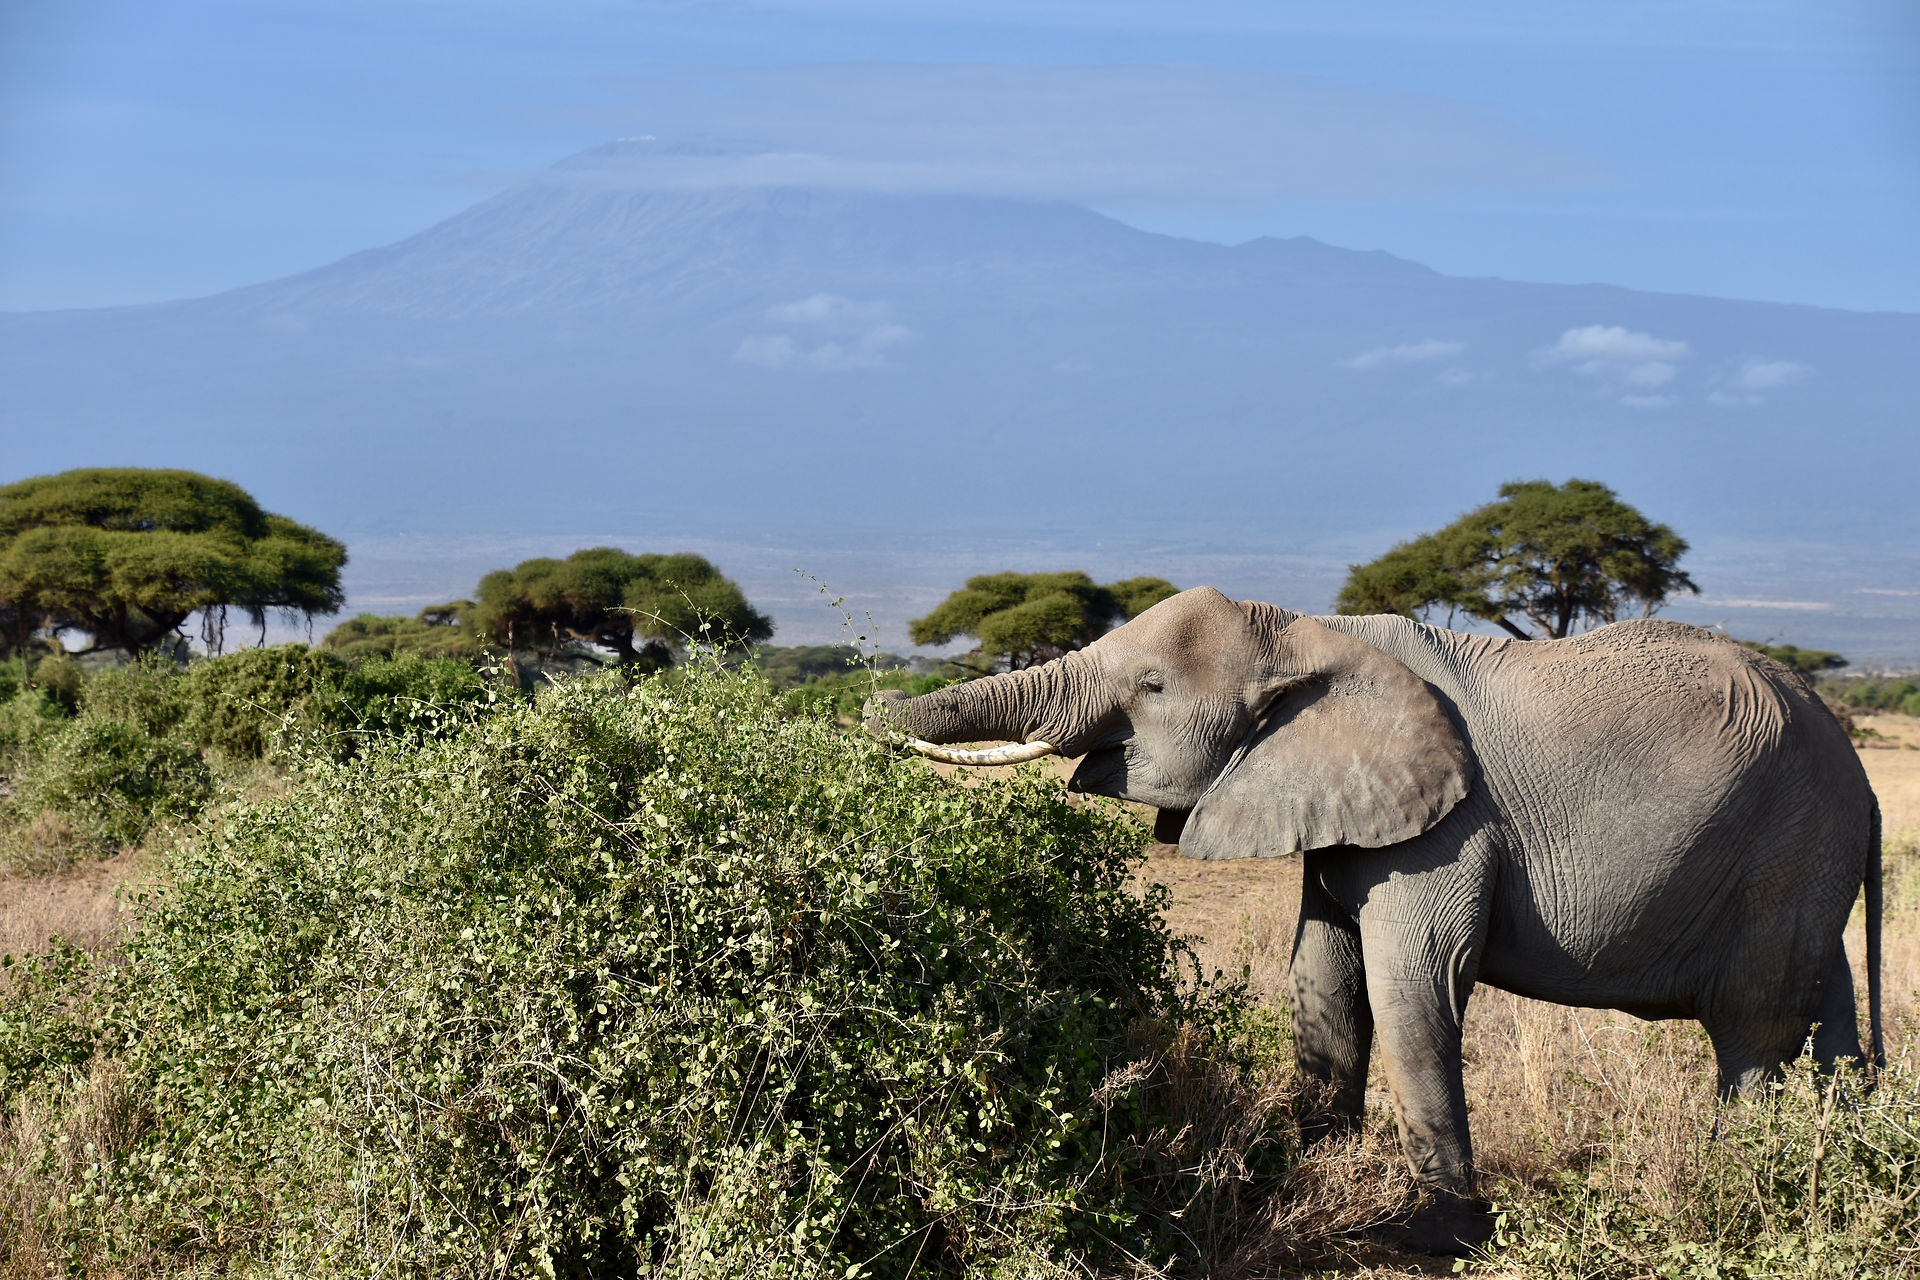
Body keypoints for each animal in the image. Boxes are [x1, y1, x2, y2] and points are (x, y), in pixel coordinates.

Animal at [866, 587, 1883, 1253]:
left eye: (1151, 687)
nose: (870, 699)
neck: (1312, 631)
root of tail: (1865, 785)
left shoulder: (1450, 824)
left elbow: (1412, 988)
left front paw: (1437, 1240)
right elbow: (1324, 980)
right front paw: (1306, 1178)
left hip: (1786, 849)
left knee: (1752, 1033)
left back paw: (1738, 1197)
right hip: (1809, 866)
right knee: (1828, 1027)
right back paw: (1844, 1181)